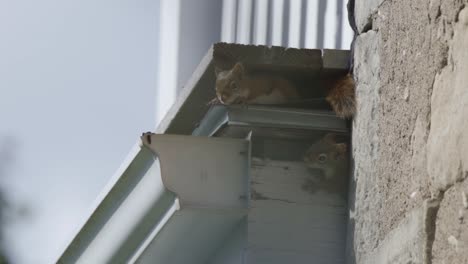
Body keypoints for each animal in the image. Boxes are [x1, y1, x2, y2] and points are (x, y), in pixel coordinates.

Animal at [214, 62, 356, 118]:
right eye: (216, 87)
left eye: (234, 85)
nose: (222, 97)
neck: (248, 84)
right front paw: (214, 100)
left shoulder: (263, 84)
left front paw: (243, 100)